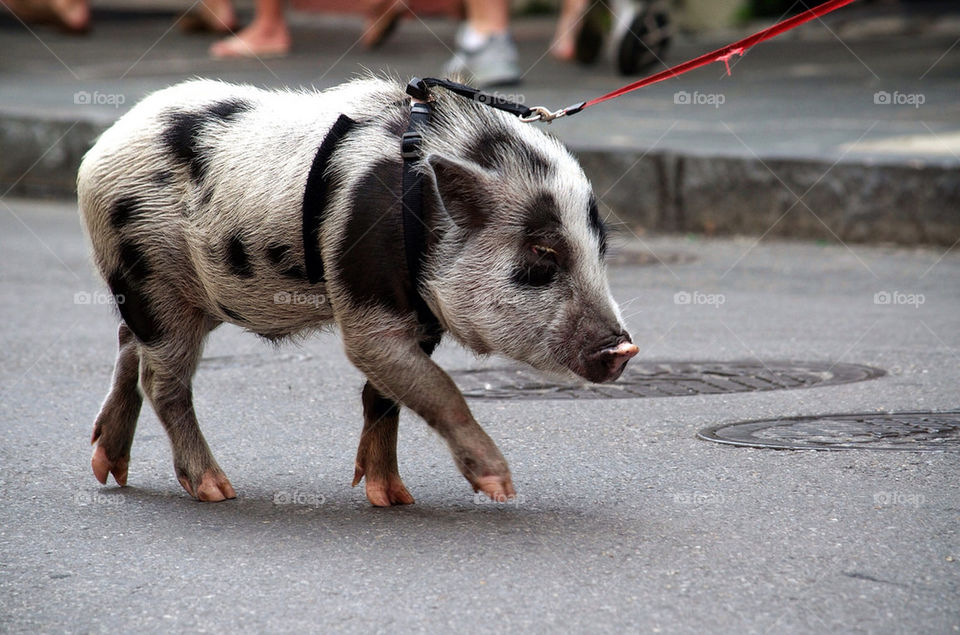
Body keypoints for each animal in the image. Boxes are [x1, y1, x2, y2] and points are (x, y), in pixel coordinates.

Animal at [77, 76, 638, 507]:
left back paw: (109, 469)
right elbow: (435, 387)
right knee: (162, 381)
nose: (624, 347)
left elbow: (385, 395)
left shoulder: (420, 316)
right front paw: (501, 487)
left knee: (128, 343)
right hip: (148, 276)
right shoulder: (365, 295)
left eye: (600, 248)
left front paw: (394, 499)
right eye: (543, 252)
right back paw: (217, 491)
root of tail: (100, 148)